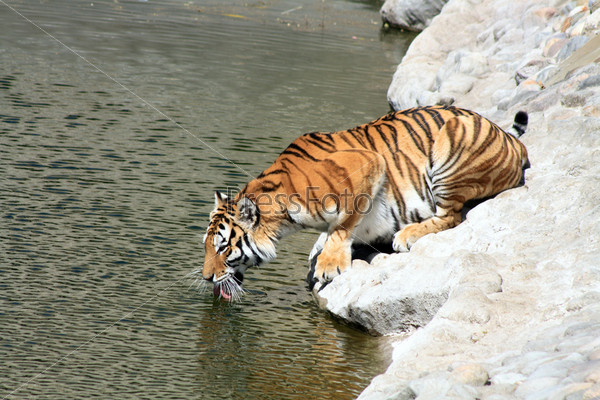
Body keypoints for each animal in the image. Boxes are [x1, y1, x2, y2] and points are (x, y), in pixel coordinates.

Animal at [202, 106, 528, 300]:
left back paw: (407, 235)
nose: (206, 277)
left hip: (453, 146)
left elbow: (343, 224)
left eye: (223, 247)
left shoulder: (367, 165)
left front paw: (329, 265)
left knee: (451, 216)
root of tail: (512, 139)